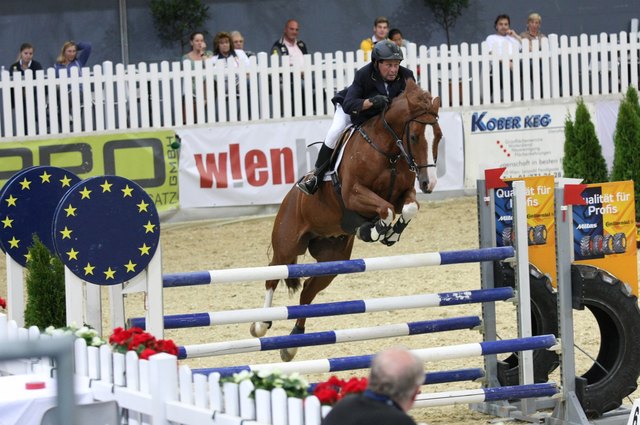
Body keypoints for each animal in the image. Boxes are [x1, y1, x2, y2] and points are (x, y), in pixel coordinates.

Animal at [249, 78, 440, 360]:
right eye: (415, 136)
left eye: (438, 136)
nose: (429, 183)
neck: (389, 151)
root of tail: (289, 199)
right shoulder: (353, 194)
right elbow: (385, 209)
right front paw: (373, 230)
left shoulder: (403, 194)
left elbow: (407, 209)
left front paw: (389, 233)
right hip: (287, 245)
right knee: (272, 276)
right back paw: (260, 324)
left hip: (332, 261)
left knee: (307, 293)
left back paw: (293, 344)